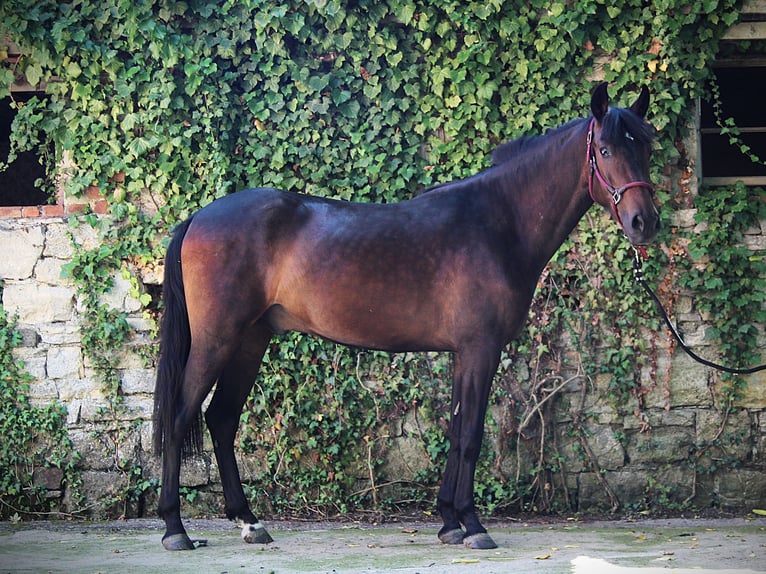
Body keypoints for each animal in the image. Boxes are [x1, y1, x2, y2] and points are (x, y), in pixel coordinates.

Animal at [154, 82, 660, 552]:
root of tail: (198, 218)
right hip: (217, 339)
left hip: (249, 340)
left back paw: (248, 522)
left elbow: (456, 431)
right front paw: (473, 525)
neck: (498, 222)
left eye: (647, 148)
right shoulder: (481, 348)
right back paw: (175, 528)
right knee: (180, 417)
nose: (645, 223)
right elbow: (471, 434)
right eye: (605, 150)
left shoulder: (464, 353)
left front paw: (450, 522)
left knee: (222, 420)